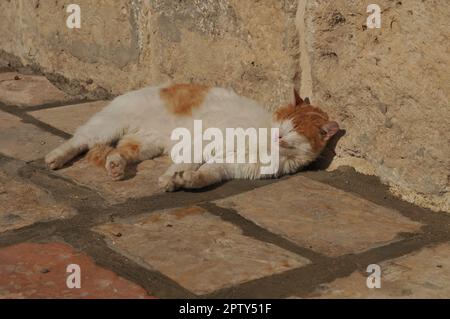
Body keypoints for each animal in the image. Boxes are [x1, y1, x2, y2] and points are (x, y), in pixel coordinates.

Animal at [45, 84, 340, 191]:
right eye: (284, 121)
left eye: (295, 130)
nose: (279, 133)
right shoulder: (205, 142)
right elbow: (186, 161)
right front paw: (169, 179)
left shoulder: (230, 166)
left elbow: (206, 175)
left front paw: (186, 181)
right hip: (109, 125)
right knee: (80, 140)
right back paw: (55, 158)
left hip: (146, 144)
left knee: (120, 150)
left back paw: (116, 166)